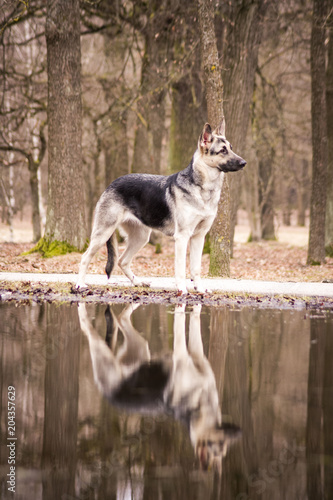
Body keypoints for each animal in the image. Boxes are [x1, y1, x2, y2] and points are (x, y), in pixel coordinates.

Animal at [76, 118, 245, 292]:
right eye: (222, 150)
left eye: (231, 148)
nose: (243, 162)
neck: (202, 189)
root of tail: (111, 184)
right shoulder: (182, 237)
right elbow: (180, 268)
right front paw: (182, 290)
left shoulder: (199, 236)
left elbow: (196, 268)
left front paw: (199, 289)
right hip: (103, 233)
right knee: (85, 258)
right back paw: (80, 284)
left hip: (141, 237)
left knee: (123, 260)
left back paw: (137, 283)